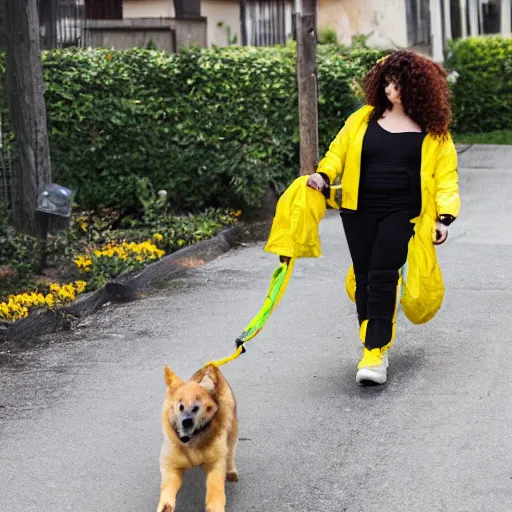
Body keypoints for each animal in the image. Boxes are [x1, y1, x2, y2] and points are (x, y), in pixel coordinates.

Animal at [157, 364, 239, 512]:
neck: (192, 443)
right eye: (180, 405)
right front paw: (165, 506)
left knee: (230, 453)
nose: (187, 421)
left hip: (232, 431)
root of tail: (211, 366)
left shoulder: (216, 464)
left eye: (199, 407)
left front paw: (215, 506)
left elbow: (215, 489)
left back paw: (231, 472)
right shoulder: (171, 467)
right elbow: (168, 491)